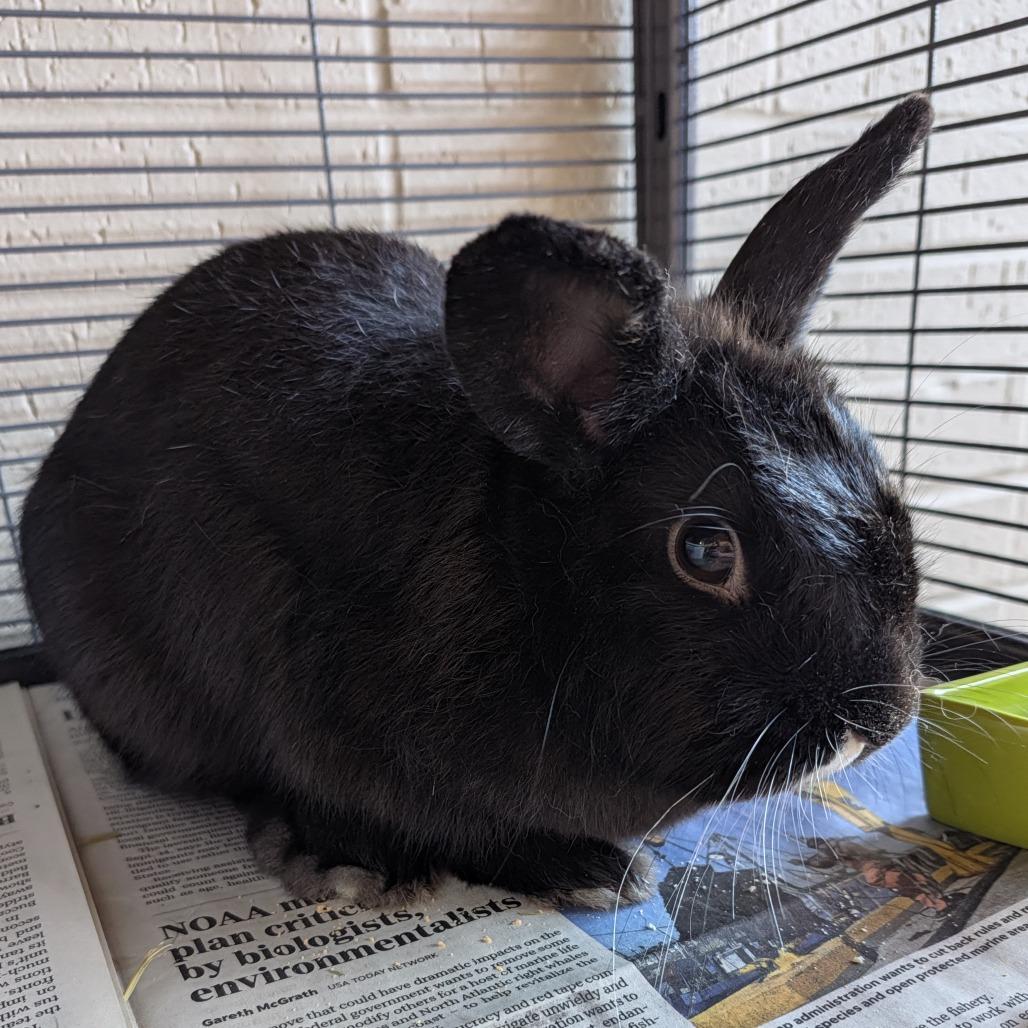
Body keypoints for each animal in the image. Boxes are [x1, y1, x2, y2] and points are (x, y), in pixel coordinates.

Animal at [20, 95, 932, 910]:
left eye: (879, 479)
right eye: (706, 551)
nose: (879, 721)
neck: (518, 578)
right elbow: (450, 825)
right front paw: (581, 871)